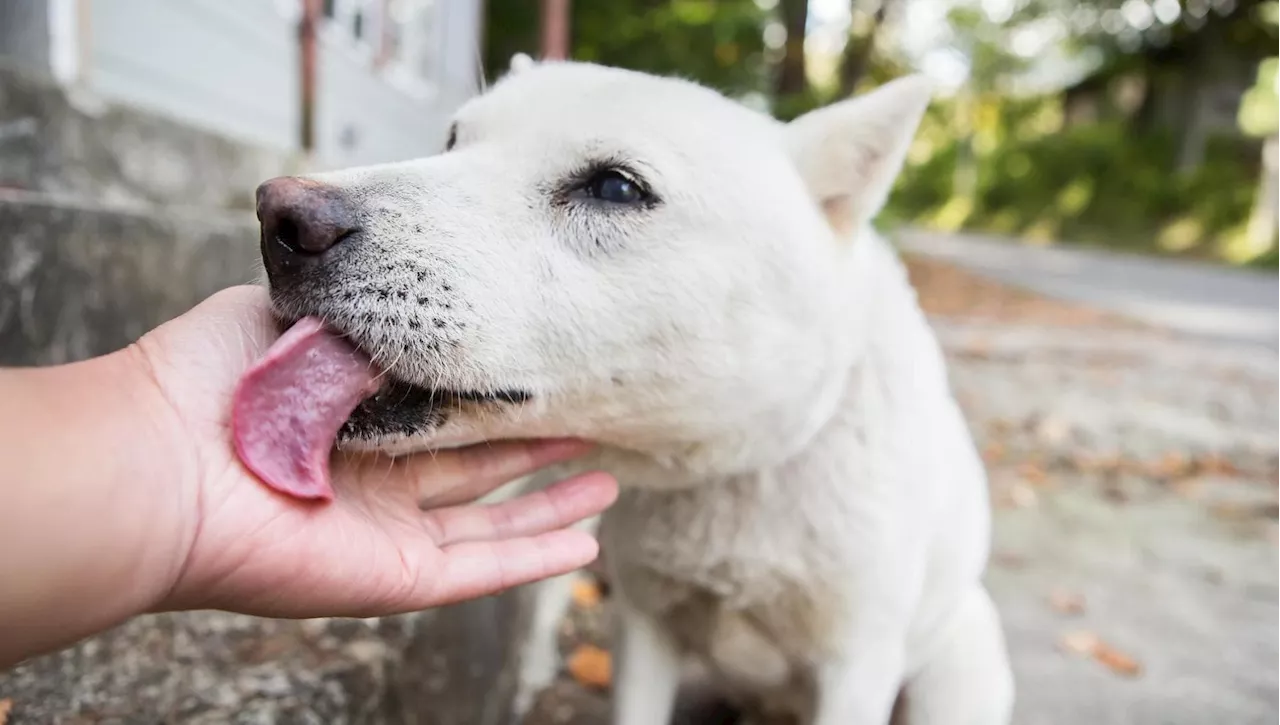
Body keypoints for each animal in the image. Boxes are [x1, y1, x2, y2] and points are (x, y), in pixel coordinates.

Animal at [249, 61, 1008, 725]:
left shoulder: (856, 666)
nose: (278, 219)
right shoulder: (645, 632)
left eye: (615, 188)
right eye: (453, 140)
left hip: (956, 669)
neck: (733, 473)